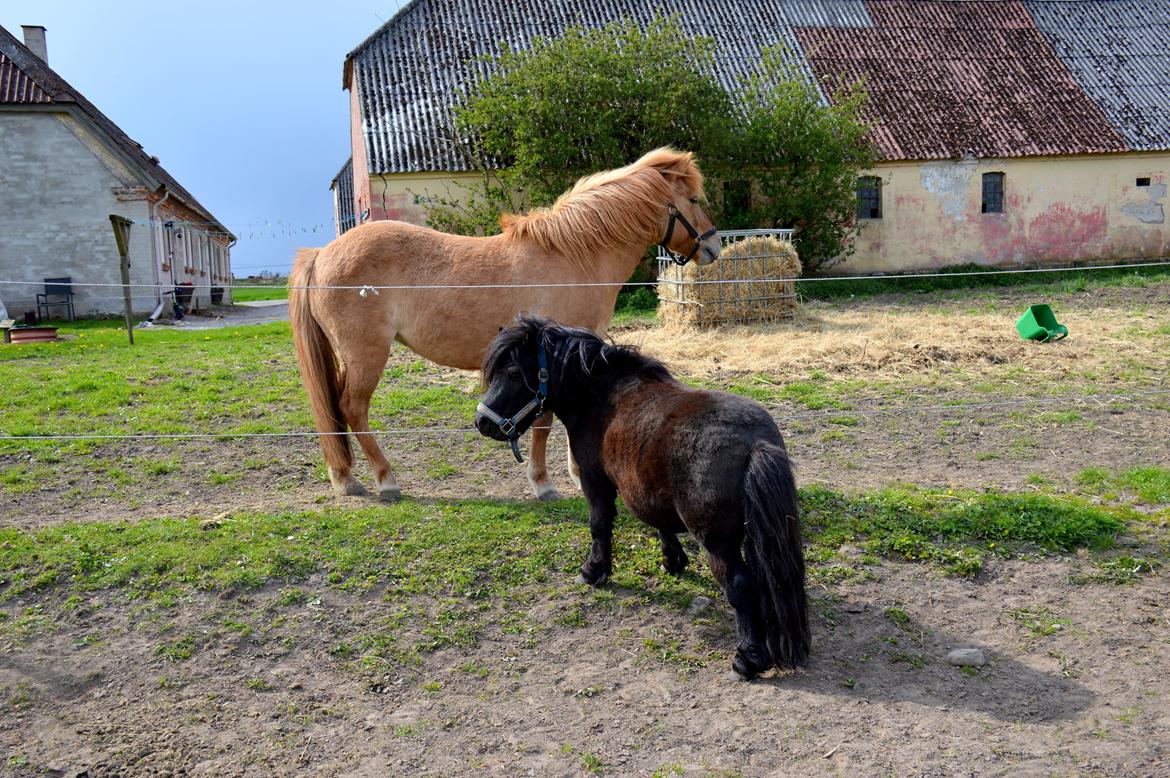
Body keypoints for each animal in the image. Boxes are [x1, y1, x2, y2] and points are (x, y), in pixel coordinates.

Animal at [290, 148, 720, 500]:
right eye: (693, 200)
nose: (715, 246)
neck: (576, 256)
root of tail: (322, 254)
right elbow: (545, 423)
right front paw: (545, 484)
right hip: (366, 355)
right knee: (351, 408)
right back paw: (384, 479)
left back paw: (344, 476)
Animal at [470, 318, 809, 678]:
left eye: (514, 372)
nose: (482, 421)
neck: (601, 398)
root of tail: (755, 444)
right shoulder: (646, 486)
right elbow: (658, 520)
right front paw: (672, 560)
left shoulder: (595, 482)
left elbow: (599, 525)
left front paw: (594, 570)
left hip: (718, 543)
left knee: (739, 585)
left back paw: (748, 657)